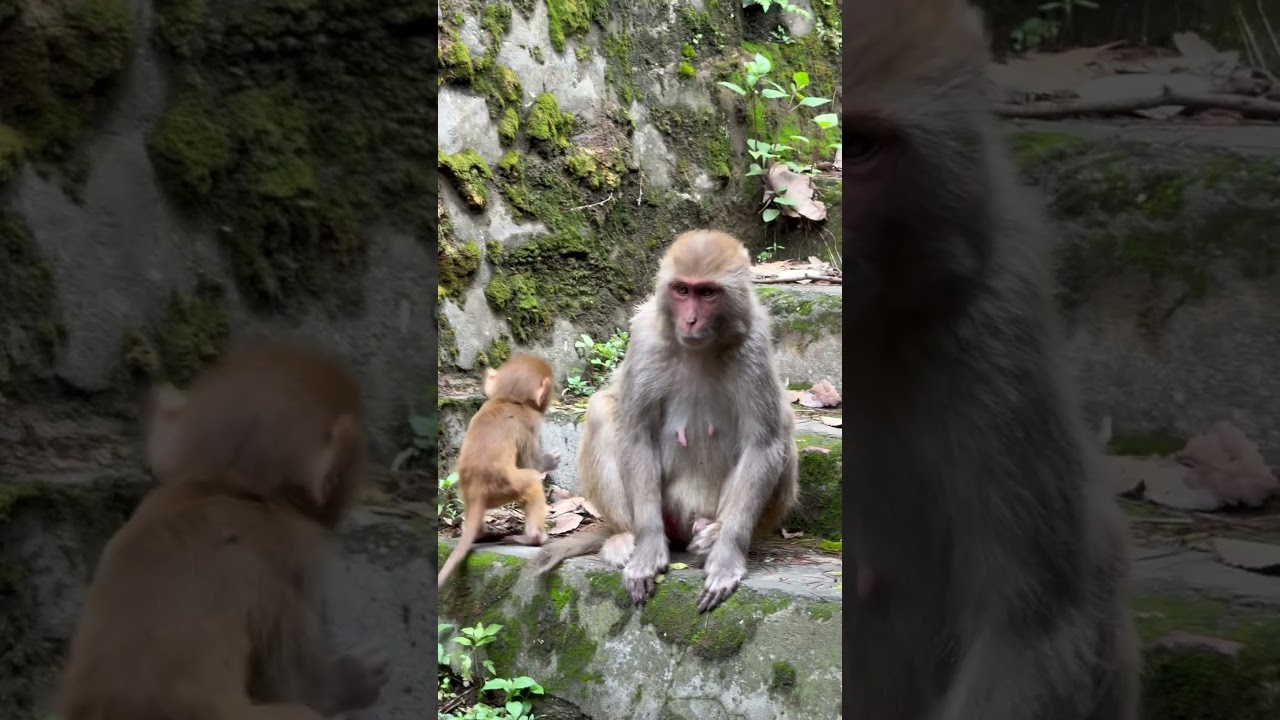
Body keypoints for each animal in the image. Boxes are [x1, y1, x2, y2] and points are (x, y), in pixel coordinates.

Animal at [437, 353, 562, 586]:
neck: (507, 399)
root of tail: (477, 490)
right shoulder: (530, 422)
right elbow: (533, 463)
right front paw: (550, 461)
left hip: (471, 494)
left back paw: (480, 533)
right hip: (506, 488)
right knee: (532, 481)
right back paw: (533, 537)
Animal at [534, 230, 799, 613]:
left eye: (707, 293)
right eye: (682, 290)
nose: (690, 320)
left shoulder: (755, 345)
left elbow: (763, 443)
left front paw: (727, 555)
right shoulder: (646, 340)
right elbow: (636, 435)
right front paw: (647, 551)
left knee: (784, 426)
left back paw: (713, 534)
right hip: (666, 511)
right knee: (602, 410)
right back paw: (627, 536)